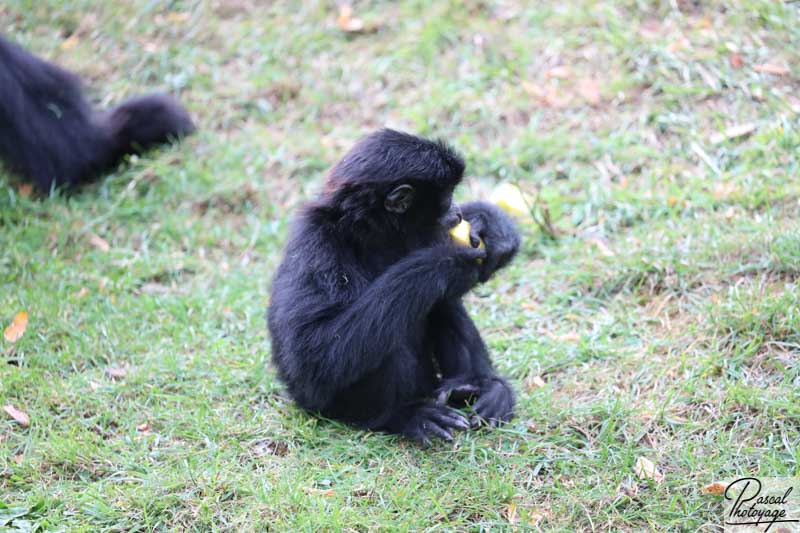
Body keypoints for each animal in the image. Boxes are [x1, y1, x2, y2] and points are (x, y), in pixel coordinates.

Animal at [268, 130, 520, 444]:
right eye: (447, 197)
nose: (458, 212)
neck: (369, 235)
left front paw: (489, 223)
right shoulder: (316, 245)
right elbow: (314, 356)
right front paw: (448, 263)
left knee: (439, 302)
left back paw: (477, 387)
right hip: (326, 402)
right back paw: (403, 415)